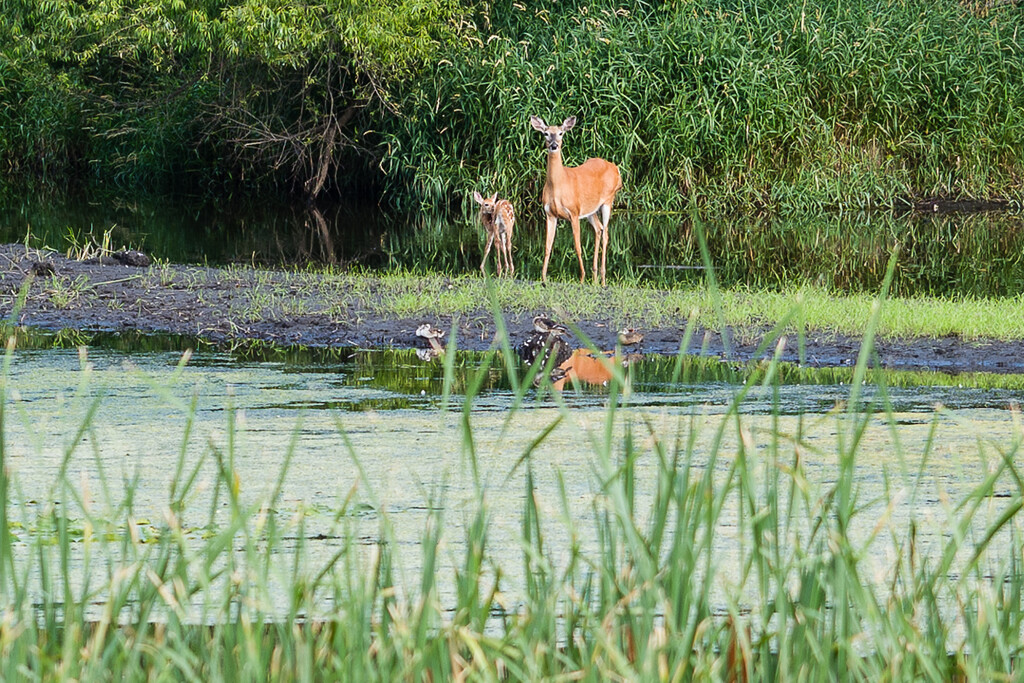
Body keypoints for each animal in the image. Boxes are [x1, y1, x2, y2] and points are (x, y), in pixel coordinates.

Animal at [532, 116, 618, 286]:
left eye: (561, 133)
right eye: (545, 133)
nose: (554, 145)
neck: (558, 185)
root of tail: (615, 168)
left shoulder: (574, 212)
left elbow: (577, 246)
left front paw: (582, 277)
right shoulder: (549, 214)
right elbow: (547, 246)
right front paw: (543, 277)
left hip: (608, 201)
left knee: (606, 233)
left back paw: (602, 274)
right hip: (591, 210)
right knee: (598, 228)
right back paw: (594, 271)